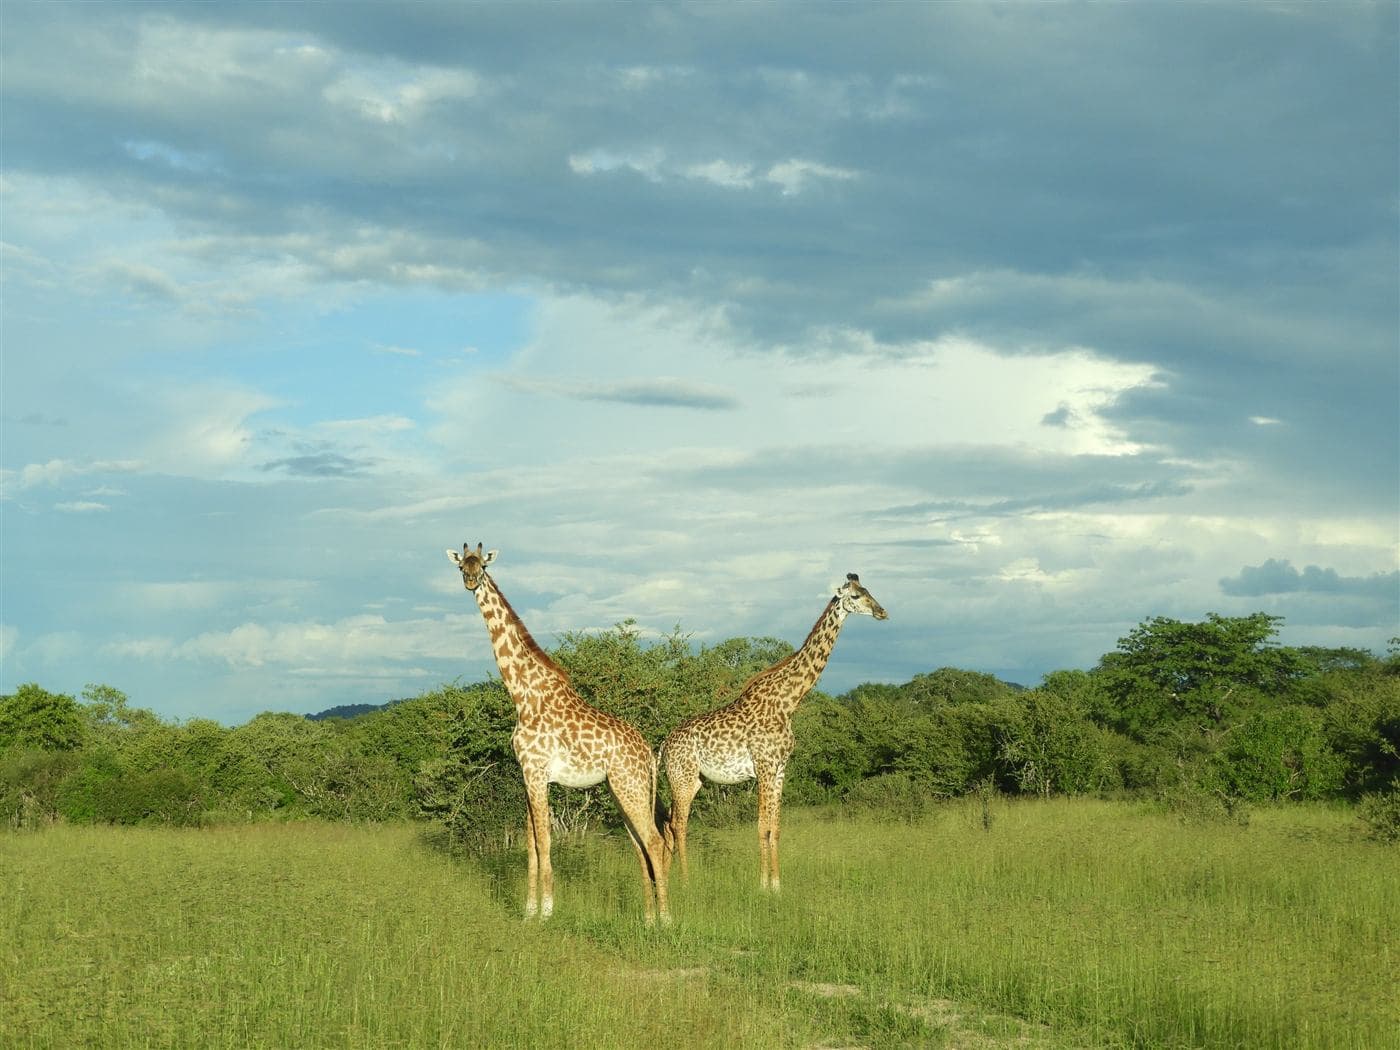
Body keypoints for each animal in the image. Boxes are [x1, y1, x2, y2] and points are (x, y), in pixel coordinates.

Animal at [446, 542, 670, 924]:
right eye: (462, 565)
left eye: (483, 566)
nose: (471, 580)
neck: (522, 695)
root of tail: (649, 753)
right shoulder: (526, 774)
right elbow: (531, 845)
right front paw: (528, 912)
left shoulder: (537, 772)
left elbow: (545, 841)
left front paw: (547, 912)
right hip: (622, 789)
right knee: (640, 844)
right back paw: (648, 919)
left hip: (629, 785)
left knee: (653, 841)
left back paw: (667, 919)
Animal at [661, 573, 888, 892]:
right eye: (855, 596)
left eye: (868, 590)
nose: (882, 612)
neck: (788, 701)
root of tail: (664, 746)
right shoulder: (764, 766)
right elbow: (762, 827)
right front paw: (763, 886)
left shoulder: (780, 768)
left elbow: (776, 828)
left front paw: (778, 886)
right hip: (682, 777)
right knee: (678, 825)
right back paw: (686, 883)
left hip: (691, 780)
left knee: (669, 824)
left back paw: (665, 880)